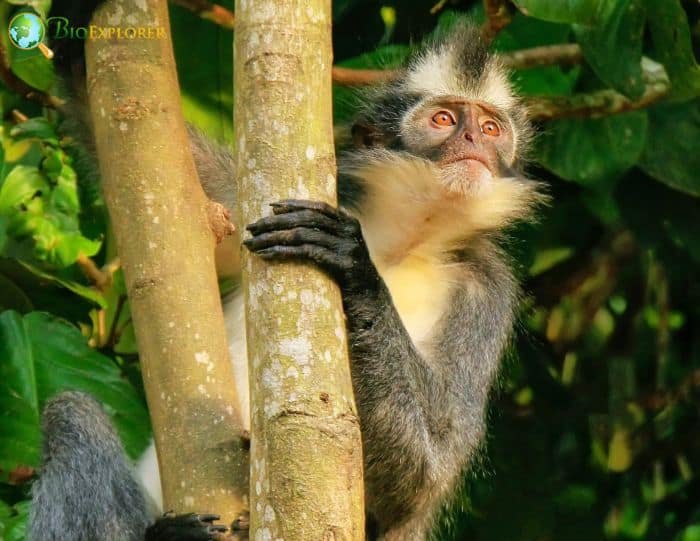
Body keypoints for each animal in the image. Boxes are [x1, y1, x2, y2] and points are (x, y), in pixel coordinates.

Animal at [30, 2, 544, 536]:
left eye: (492, 129)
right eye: (444, 119)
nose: (473, 139)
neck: (403, 240)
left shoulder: (488, 289)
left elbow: (425, 475)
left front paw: (354, 266)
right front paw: (73, 28)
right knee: (70, 414)